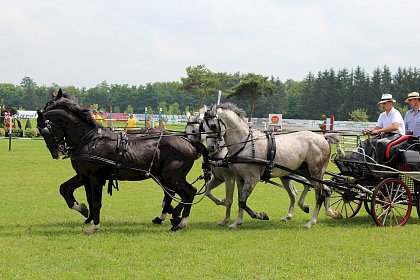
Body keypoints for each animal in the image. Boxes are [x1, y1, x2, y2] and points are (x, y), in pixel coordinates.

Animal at [37, 89, 210, 232]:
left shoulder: (95, 177)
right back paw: (170, 217)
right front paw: (84, 211)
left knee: (189, 192)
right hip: (164, 177)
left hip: (172, 177)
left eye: (45, 130)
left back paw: (180, 221)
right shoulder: (83, 176)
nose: (56, 152)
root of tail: (188, 141)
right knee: (175, 194)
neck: (90, 139)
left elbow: (96, 202)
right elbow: (66, 190)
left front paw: (94, 225)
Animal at [200, 104, 342, 229]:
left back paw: (311, 222)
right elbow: (240, 200)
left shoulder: (252, 179)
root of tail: (323, 138)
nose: (211, 148)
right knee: (323, 189)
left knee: (320, 194)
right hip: (306, 172)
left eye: (213, 125)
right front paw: (237, 223)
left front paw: (260, 215)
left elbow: (242, 201)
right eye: (203, 127)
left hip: (316, 171)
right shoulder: (240, 179)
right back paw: (327, 212)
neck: (245, 144)